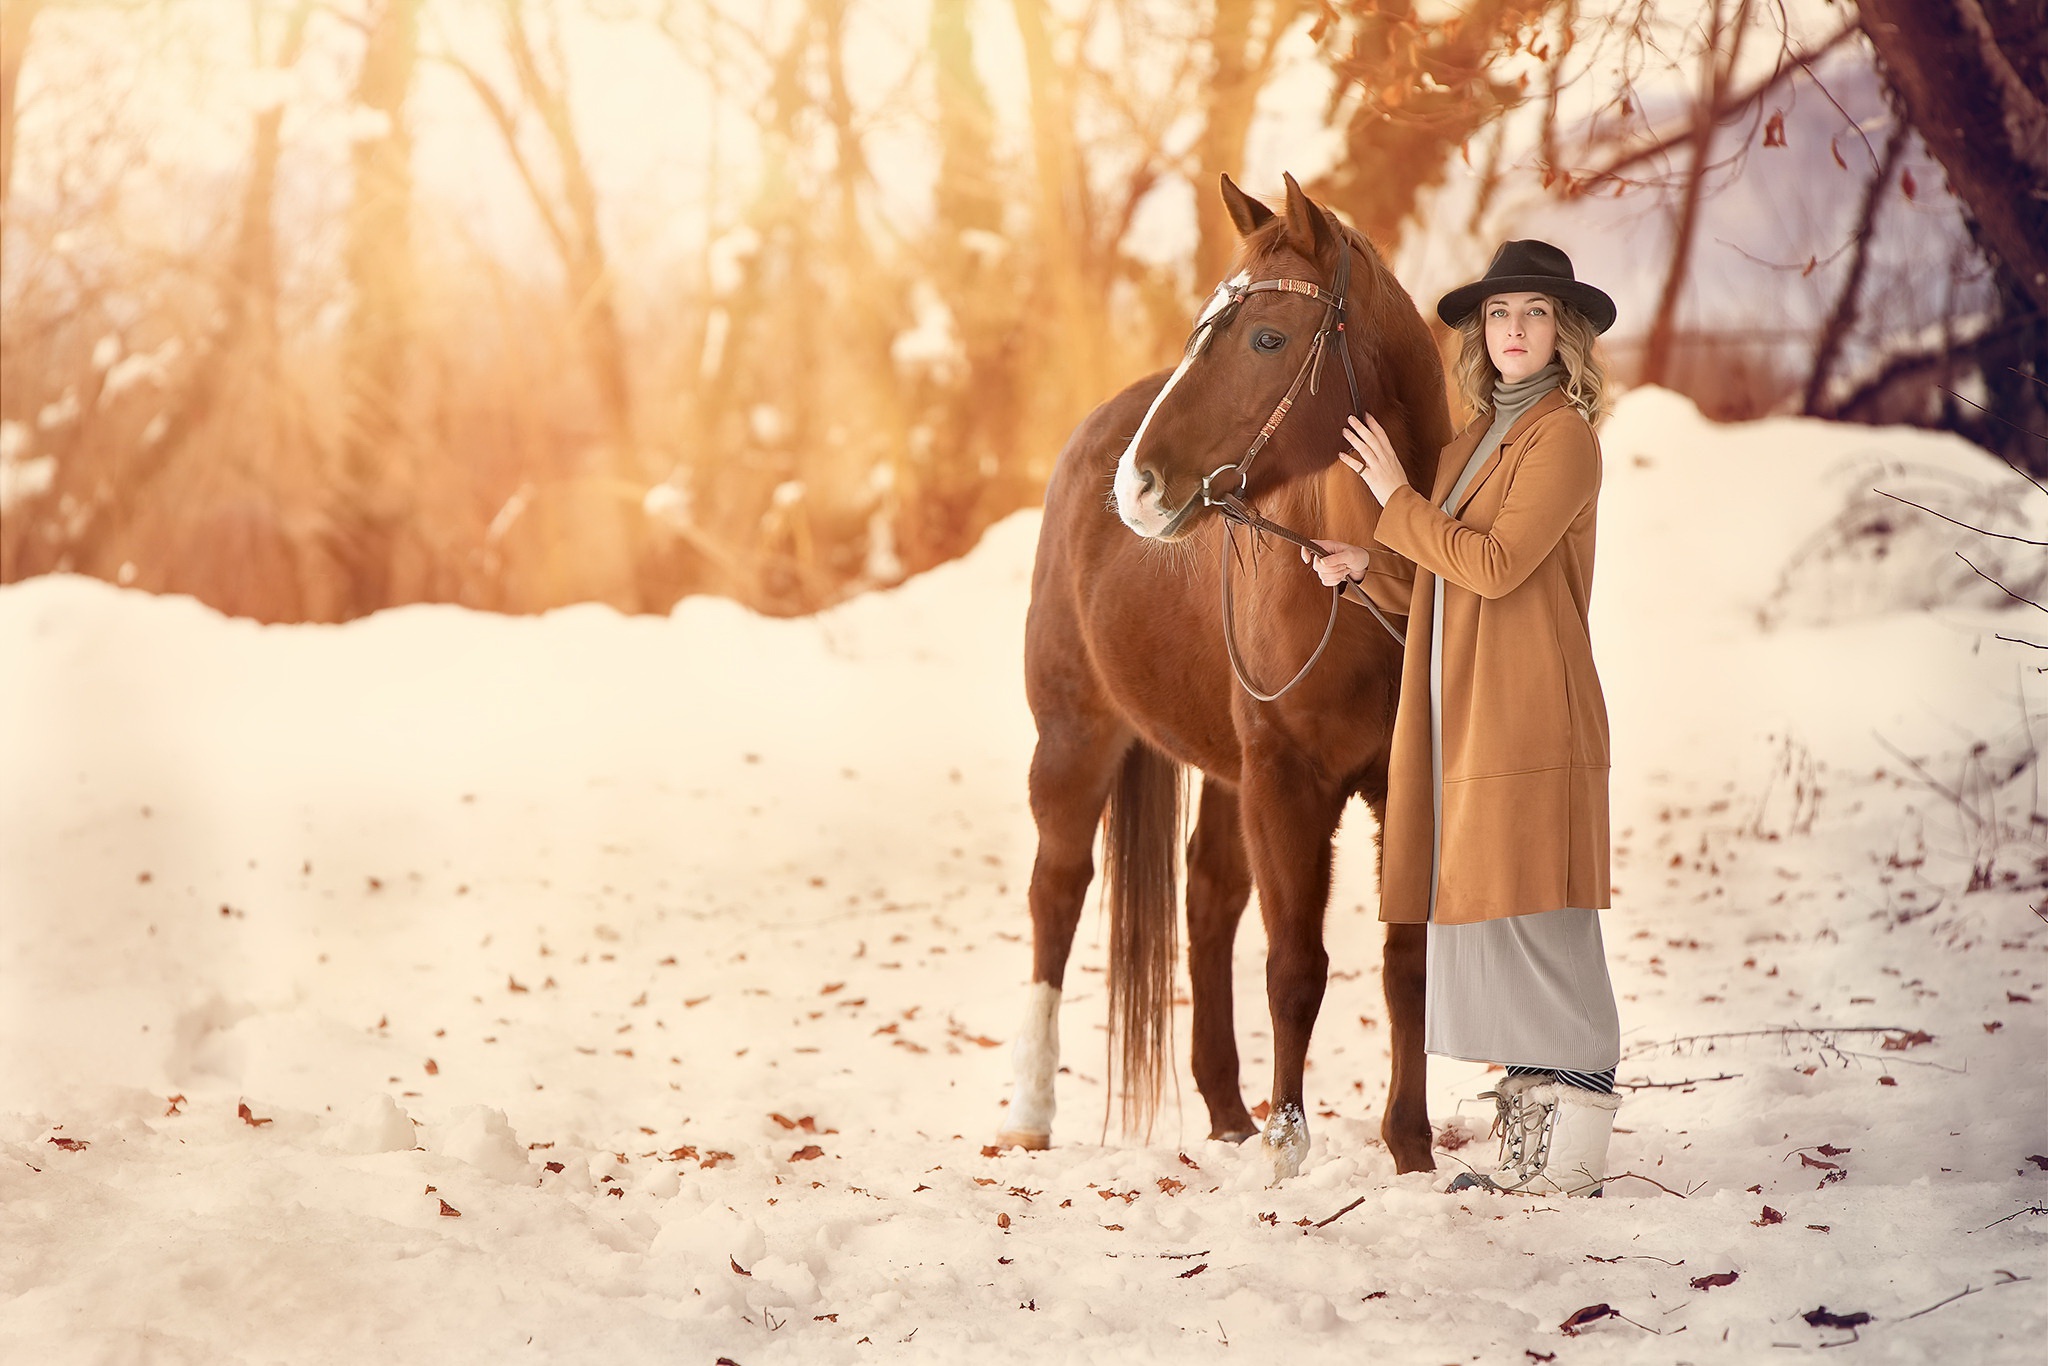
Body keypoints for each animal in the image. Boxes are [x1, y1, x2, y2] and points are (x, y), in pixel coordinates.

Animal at [995, 174, 1449, 1187]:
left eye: (1267, 338)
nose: (1140, 485)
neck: (1367, 584)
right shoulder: (1286, 781)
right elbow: (1295, 967)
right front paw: (1288, 1153)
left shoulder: (1403, 788)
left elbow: (1406, 960)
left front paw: (1411, 1151)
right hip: (1075, 741)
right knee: (1056, 891)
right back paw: (1031, 1114)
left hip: (1225, 771)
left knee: (1205, 900)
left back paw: (1227, 1113)